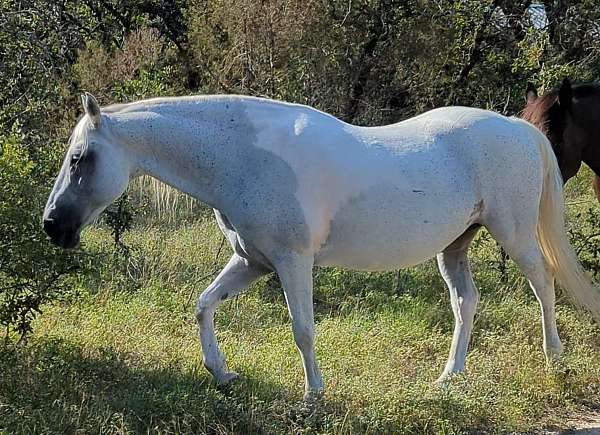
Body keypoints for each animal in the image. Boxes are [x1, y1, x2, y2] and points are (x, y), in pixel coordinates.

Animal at [44, 93, 600, 400]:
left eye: (80, 158)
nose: (53, 226)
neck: (245, 157)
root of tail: (519, 128)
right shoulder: (252, 262)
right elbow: (203, 305)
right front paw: (222, 374)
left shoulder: (292, 262)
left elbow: (303, 330)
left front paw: (314, 395)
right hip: (454, 246)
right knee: (467, 303)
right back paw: (449, 377)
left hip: (515, 234)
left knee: (544, 285)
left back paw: (555, 361)